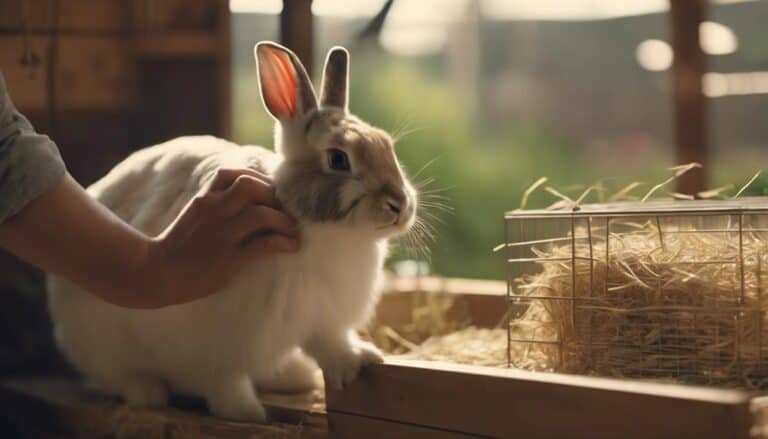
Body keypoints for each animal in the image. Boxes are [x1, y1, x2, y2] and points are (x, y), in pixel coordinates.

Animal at [47, 41, 417, 422]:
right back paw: (148, 393)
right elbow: (225, 380)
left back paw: (295, 376)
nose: (399, 204)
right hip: (107, 343)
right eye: (338, 159)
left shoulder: (322, 319)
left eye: (387, 146)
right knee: (120, 375)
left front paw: (359, 360)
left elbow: (330, 345)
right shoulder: (222, 343)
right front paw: (248, 413)